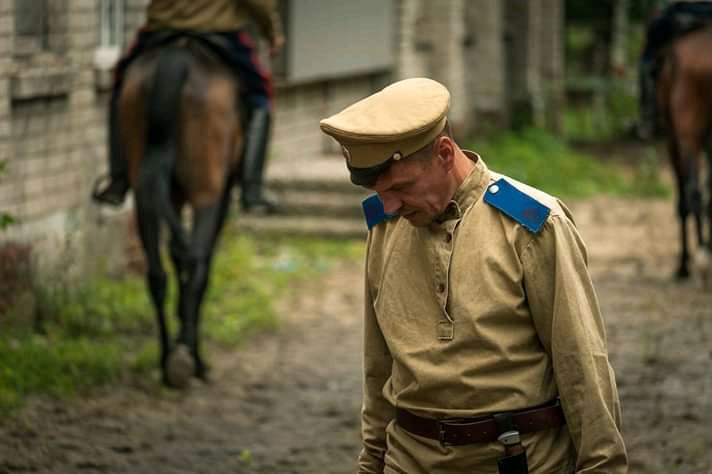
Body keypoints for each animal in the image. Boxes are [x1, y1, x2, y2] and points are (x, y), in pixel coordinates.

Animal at [114, 36, 242, 386]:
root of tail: (178, 57)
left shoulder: (173, 196)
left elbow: (173, 253)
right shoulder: (221, 192)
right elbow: (199, 264)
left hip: (145, 192)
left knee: (157, 273)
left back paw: (166, 361)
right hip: (206, 191)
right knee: (197, 263)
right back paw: (191, 360)